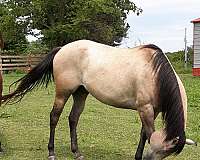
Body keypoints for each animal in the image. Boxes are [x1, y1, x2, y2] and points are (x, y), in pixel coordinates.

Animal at [1, 39, 195, 159]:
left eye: (165, 154)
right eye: (158, 150)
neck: (155, 74)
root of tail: (62, 49)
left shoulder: (151, 111)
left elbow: (143, 134)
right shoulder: (145, 109)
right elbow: (148, 133)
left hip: (80, 93)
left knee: (73, 118)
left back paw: (76, 152)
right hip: (63, 92)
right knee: (54, 117)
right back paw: (51, 152)